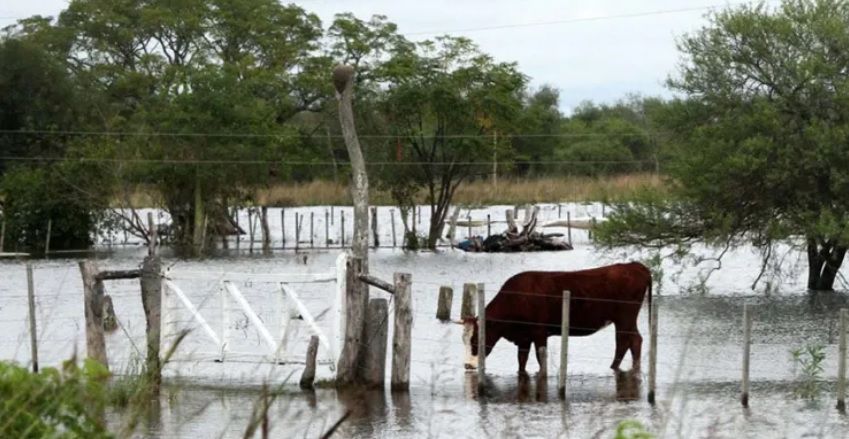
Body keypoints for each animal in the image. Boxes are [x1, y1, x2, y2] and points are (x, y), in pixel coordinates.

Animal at [468, 262, 652, 374]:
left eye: (475, 337)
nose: (468, 364)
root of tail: (634, 265)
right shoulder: (524, 337)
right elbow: (522, 359)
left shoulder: (539, 331)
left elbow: (540, 357)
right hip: (623, 319)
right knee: (626, 341)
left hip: (626, 317)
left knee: (630, 340)